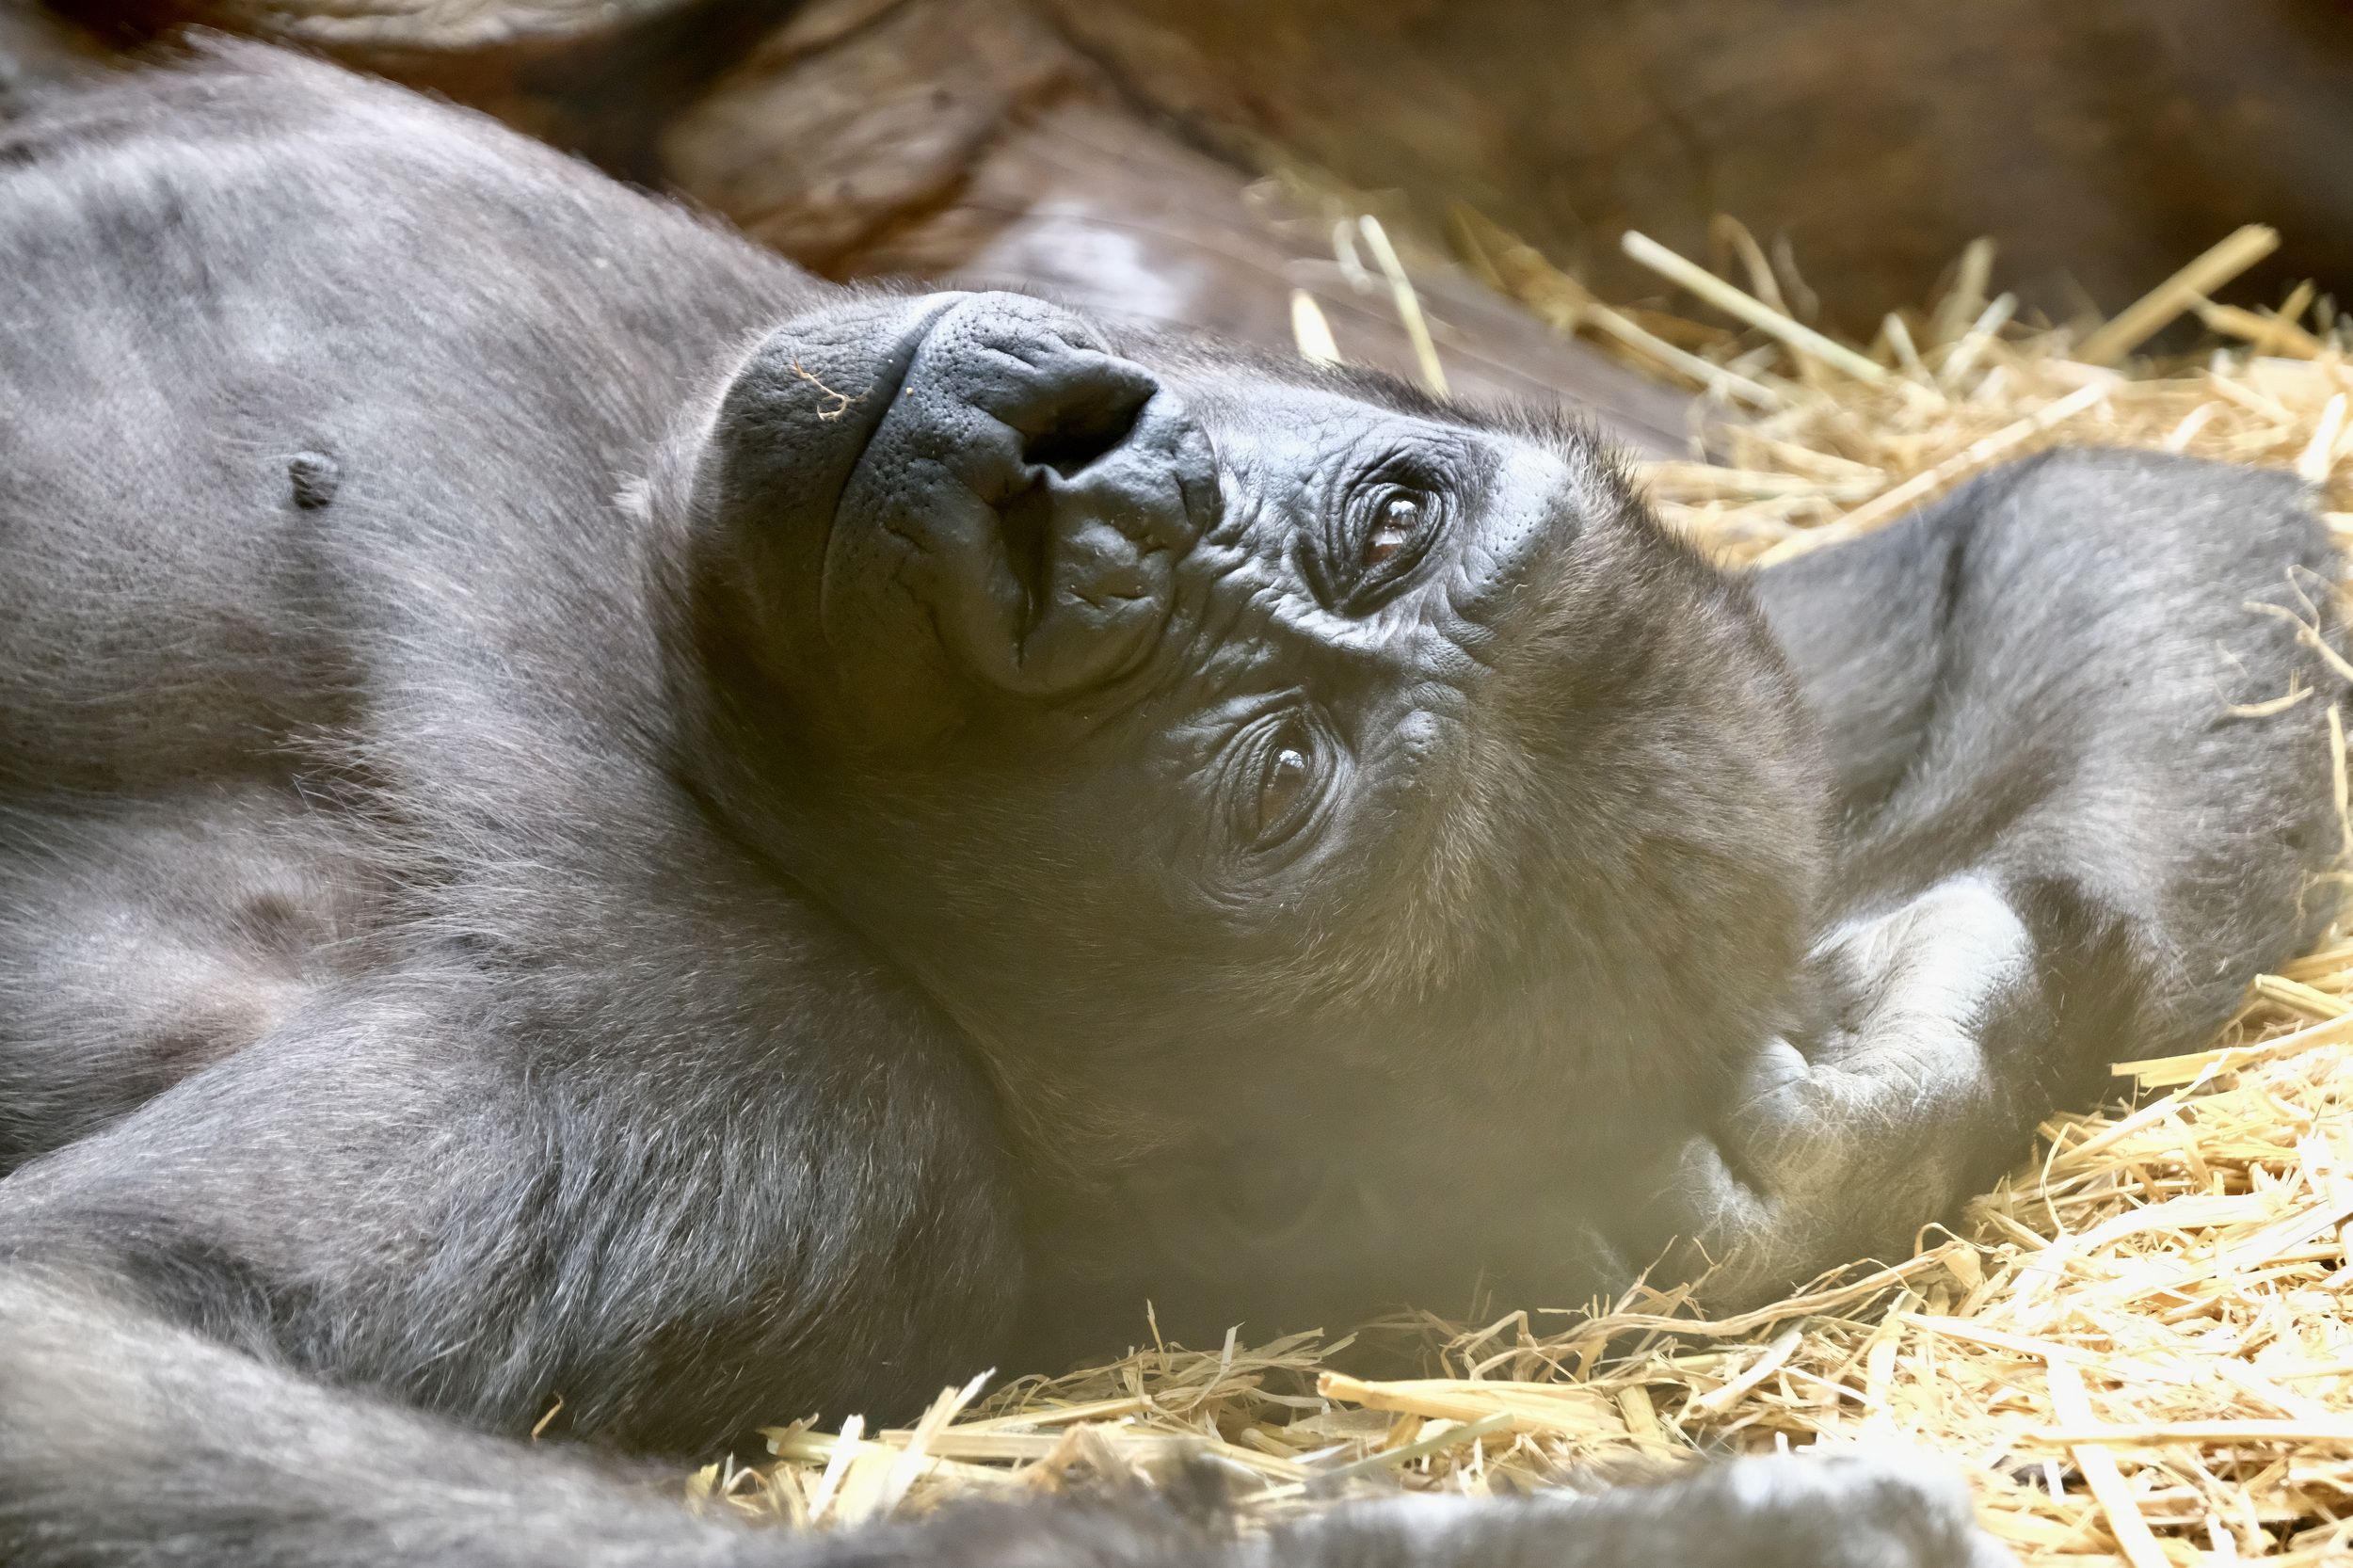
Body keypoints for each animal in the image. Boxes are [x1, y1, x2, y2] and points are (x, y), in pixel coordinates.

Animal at [0, 33, 2325, 1562]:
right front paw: (1948, 1004)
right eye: (1389, 518)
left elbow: (78, 1349)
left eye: (1274, 781)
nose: (1087, 498)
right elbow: (2077, 528)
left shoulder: (752, 1099)